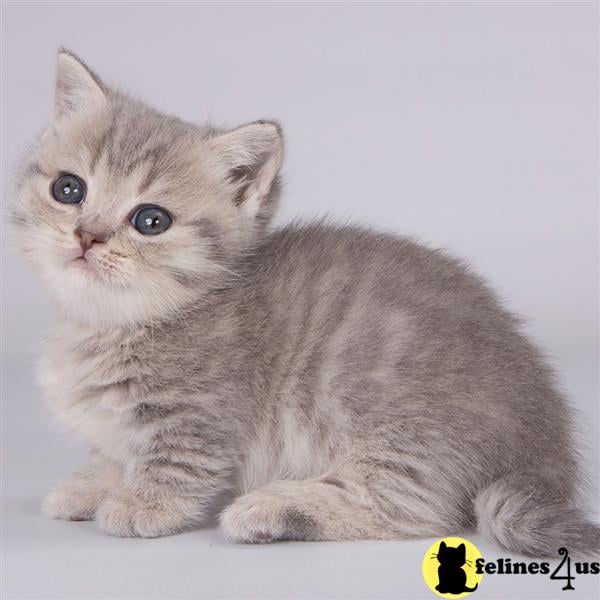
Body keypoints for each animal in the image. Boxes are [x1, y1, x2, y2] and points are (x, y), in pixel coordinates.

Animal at [14, 51, 600, 556]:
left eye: (151, 220)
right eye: (69, 189)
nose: (87, 236)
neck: (110, 322)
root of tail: (546, 451)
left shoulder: (199, 416)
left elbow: (175, 464)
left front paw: (141, 503)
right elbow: (117, 453)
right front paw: (95, 483)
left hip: (387, 422)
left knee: (415, 511)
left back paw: (270, 509)